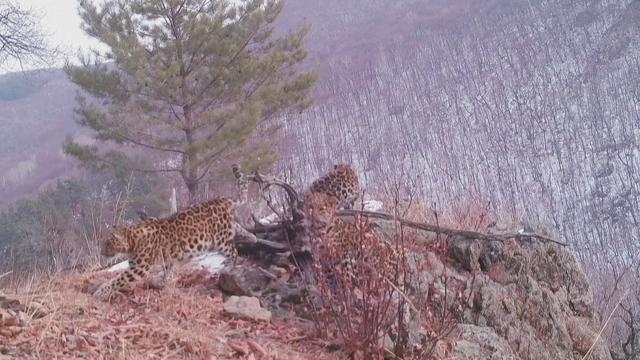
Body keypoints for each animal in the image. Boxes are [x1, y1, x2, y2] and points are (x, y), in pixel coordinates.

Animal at [92, 163, 248, 300]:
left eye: (108, 243)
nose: (102, 252)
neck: (132, 241)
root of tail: (223, 199)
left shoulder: (139, 268)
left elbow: (118, 279)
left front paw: (101, 291)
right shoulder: (157, 261)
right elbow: (167, 270)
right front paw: (162, 282)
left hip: (221, 239)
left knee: (234, 251)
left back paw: (229, 268)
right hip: (229, 230)